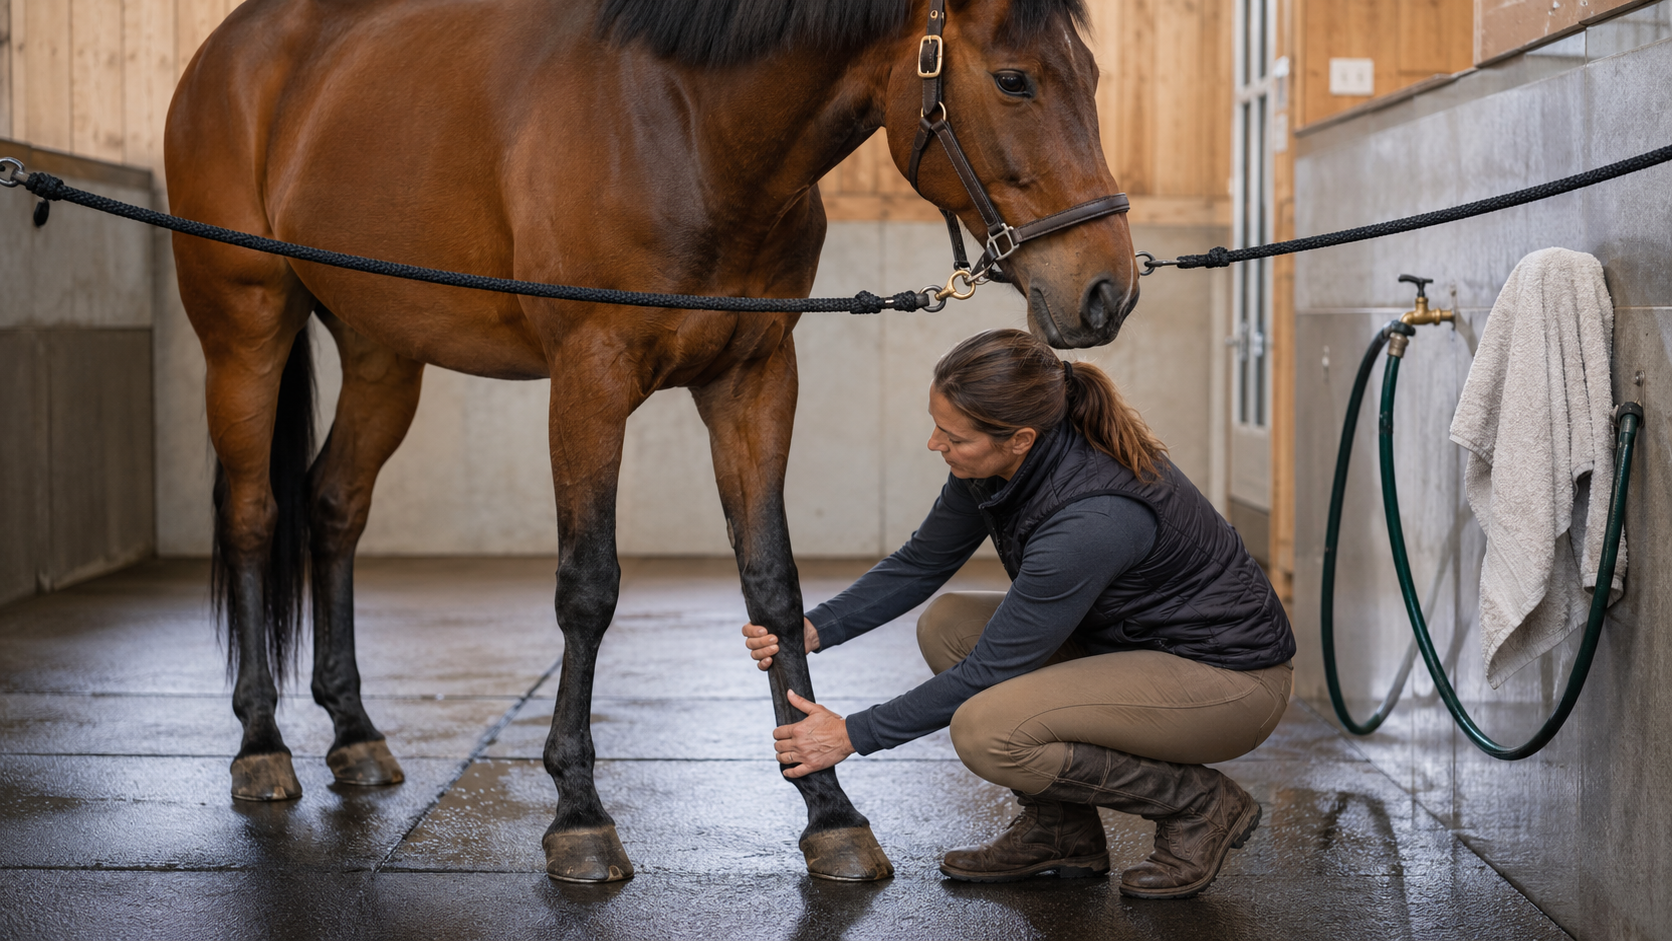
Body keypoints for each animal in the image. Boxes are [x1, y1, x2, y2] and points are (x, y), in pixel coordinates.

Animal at [164, 0, 1138, 882]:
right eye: (1014, 80)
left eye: (1095, 78)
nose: (1107, 291)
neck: (689, 128)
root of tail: (229, 51)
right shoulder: (588, 379)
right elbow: (588, 586)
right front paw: (578, 815)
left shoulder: (755, 380)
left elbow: (772, 584)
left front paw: (829, 810)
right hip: (246, 330)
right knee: (253, 514)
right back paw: (261, 743)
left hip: (382, 350)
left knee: (335, 504)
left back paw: (355, 733)